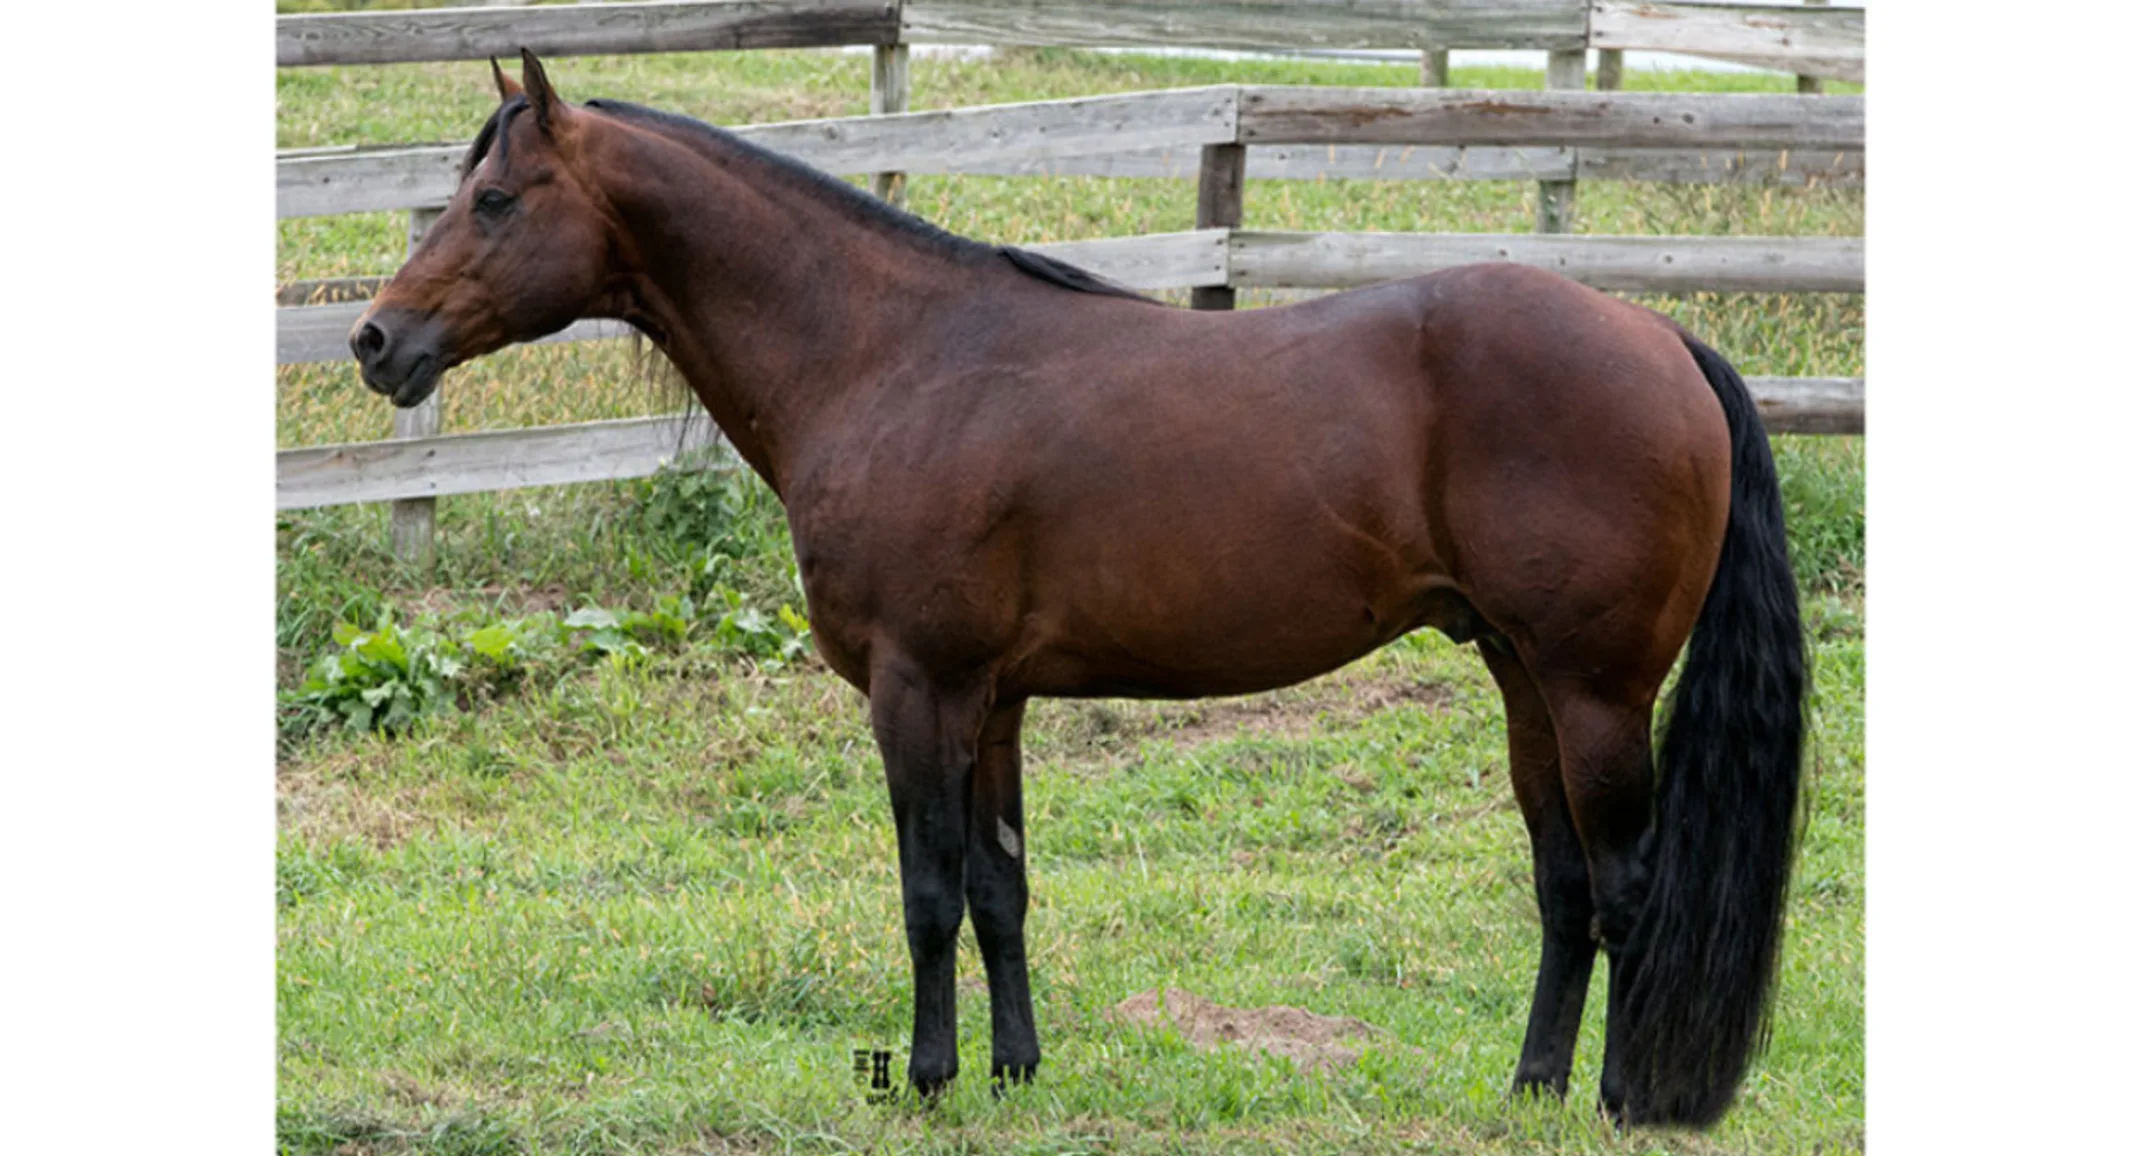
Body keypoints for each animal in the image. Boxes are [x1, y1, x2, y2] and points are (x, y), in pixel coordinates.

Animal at [350, 56, 1806, 1130]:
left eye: (495, 200)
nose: (374, 340)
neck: (893, 357)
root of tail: (1660, 337)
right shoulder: (990, 702)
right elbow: (1001, 889)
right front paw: (1015, 1072)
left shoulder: (916, 690)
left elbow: (928, 891)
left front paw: (928, 1081)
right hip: (1520, 679)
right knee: (1565, 888)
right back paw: (1530, 1088)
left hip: (1595, 692)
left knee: (1627, 889)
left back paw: (1618, 1099)